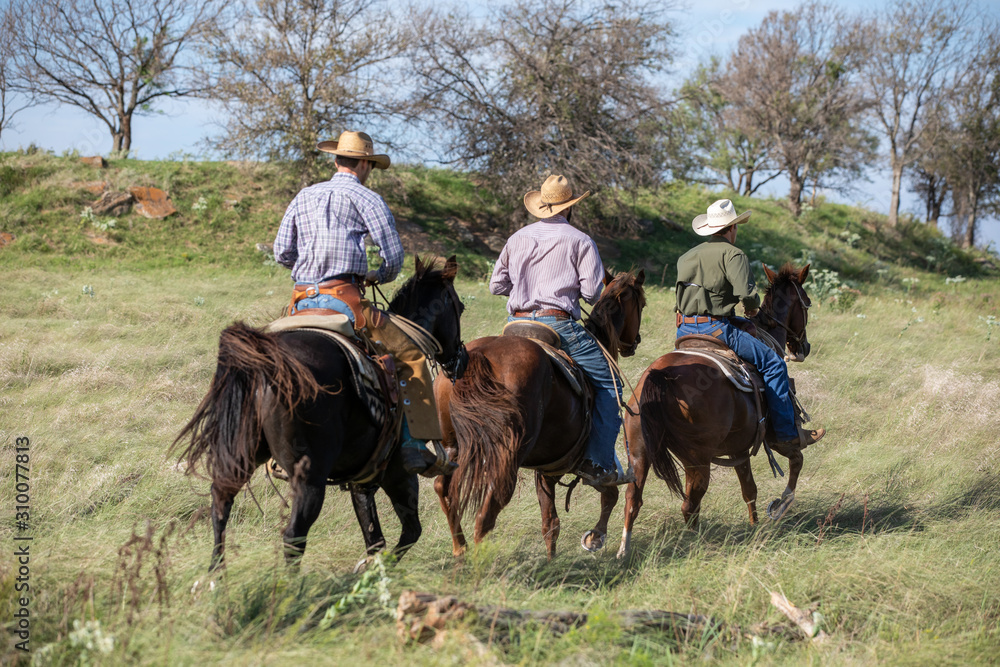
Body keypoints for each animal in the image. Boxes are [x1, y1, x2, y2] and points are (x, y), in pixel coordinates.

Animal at [175, 258, 464, 572]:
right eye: (460, 307)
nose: (459, 360)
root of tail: (266, 363)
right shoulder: (398, 475)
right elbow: (409, 532)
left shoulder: (362, 480)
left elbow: (374, 537)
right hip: (310, 478)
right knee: (293, 536)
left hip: (239, 455)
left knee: (220, 505)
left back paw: (216, 576)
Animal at [434, 270, 644, 560]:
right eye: (642, 304)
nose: (634, 342)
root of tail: (475, 358)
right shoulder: (583, 464)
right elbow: (609, 493)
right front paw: (595, 538)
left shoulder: (547, 467)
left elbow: (550, 521)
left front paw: (551, 559)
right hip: (505, 459)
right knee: (486, 513)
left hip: (452, 446)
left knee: (444, 491)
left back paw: (459, 551)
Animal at [616, 262, 812, 560]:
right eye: (807, 303)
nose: (804, 347)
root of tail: (658, 377)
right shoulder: (775, 438)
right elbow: (796, 459)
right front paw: (781, 504)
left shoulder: (738, 448)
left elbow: (749, 489)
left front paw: (754, 526)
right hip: (696, 460)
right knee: (690, 505)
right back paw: (694, 546)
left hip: (639, 453)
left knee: (632, 500)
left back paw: (622, 551)